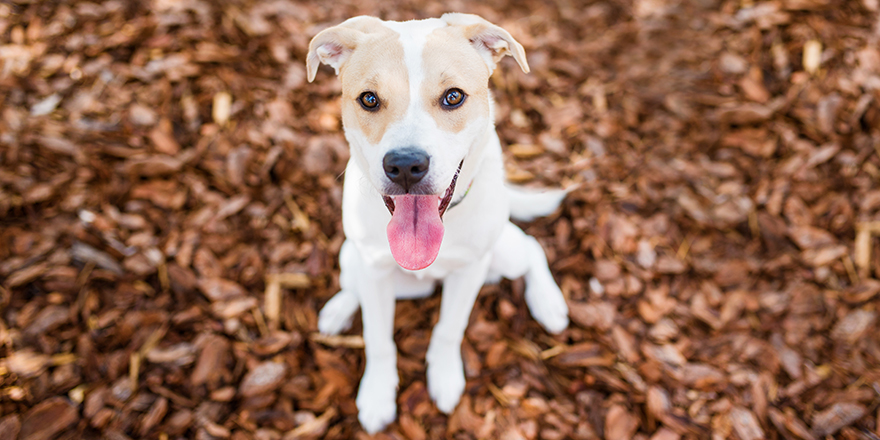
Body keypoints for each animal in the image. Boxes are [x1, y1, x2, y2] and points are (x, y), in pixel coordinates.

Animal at [308, 13, 572, 434]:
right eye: (369, 99)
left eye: (453, 97)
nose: (405, 165)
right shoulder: (374, 269)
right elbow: (378, 338)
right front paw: (377, 394)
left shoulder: (469, 272)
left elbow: (449, 329)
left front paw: (445, 378)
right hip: (355, 258)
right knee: (355, 284)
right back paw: (338, 308)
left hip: (503, 253)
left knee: (530, 246)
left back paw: (548, 303)